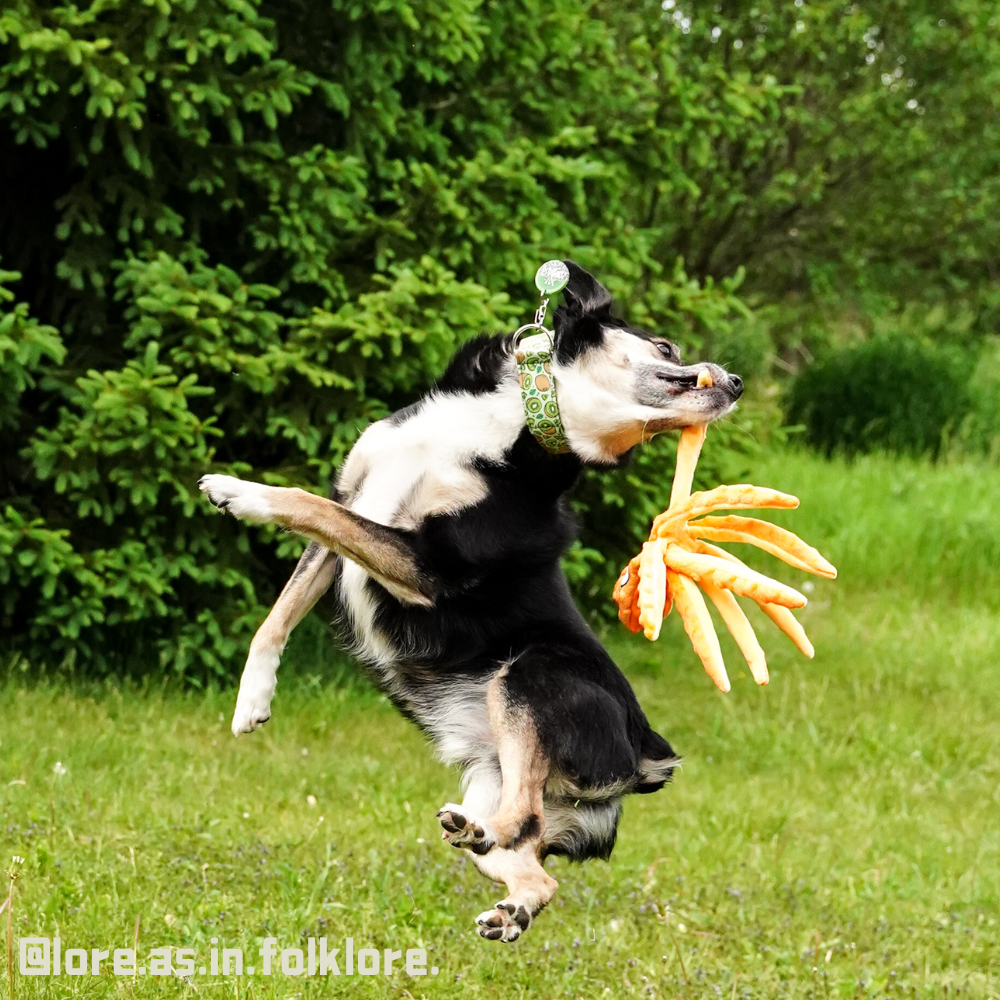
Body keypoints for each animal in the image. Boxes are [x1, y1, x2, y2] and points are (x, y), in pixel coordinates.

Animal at [197, 262, 744, 940]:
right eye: (667, 348)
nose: (737, 383)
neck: (522, 421)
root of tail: (646, 752)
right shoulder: (355, 500)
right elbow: (280, 611)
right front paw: (253, 698)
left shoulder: (428, 564)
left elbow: (301, 502)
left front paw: (238, 491)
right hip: (496, 776)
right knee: (534, 866)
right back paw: (510, 908)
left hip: (526, 677)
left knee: (520, 823)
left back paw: (486, 840)